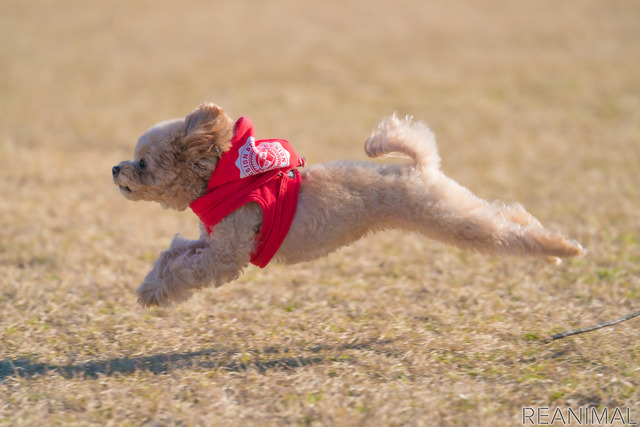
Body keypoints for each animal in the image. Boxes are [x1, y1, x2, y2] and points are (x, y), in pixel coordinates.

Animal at [112, 103, 584, 308]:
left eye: (143, 163)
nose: (115, 169)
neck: (224, 181)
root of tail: (418, 167)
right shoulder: (210, 242)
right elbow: (171, 254)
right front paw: (149, 286)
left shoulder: (228, 253)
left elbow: (185, 268)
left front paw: (154, 295)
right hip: (454, 205)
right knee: (509, 217)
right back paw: (551, 248)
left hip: (448, 217)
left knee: (504, 232)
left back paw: (563, 248)